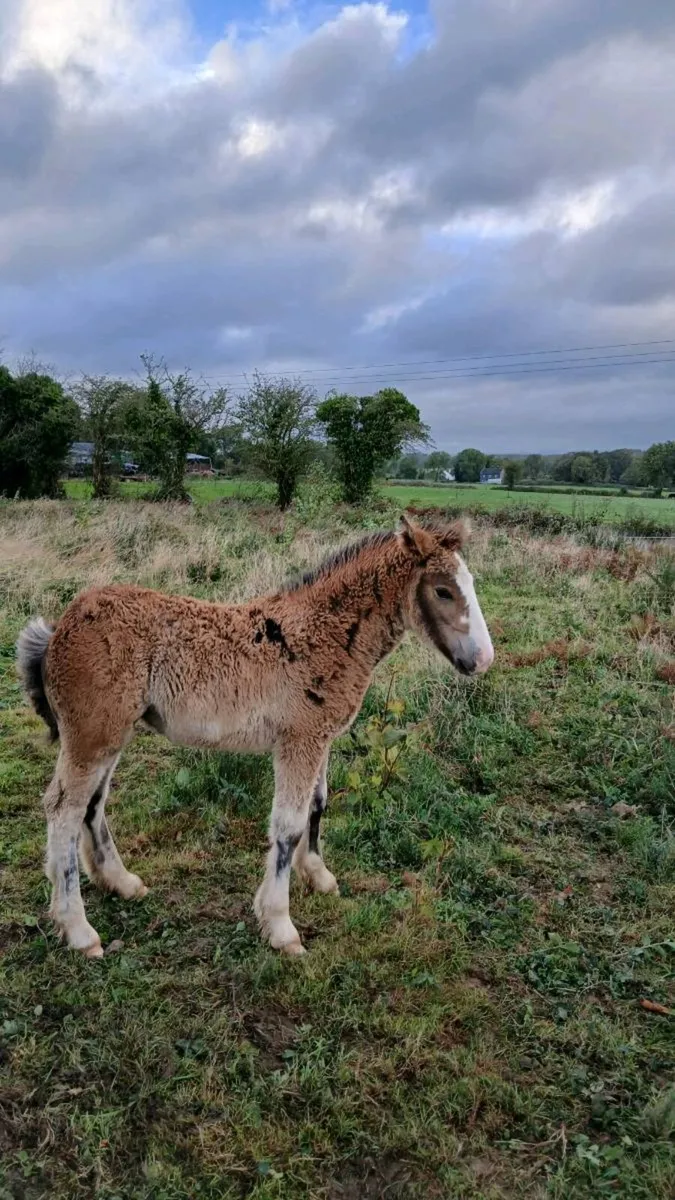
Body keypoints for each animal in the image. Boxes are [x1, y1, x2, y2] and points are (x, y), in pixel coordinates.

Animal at [16, 515, 493, 959]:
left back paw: (121, 882)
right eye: (443, 591)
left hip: (113, 734)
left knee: (92, 804)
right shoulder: (299, 741)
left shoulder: (319, 739)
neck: (326, 632)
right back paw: (78, 930)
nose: (484, 659)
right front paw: (280, 925)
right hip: (91, 736)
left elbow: (318, 804)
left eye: (469, 583)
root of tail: (60, 627)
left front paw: (317, 874)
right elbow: (287, 826)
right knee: (62, 810)